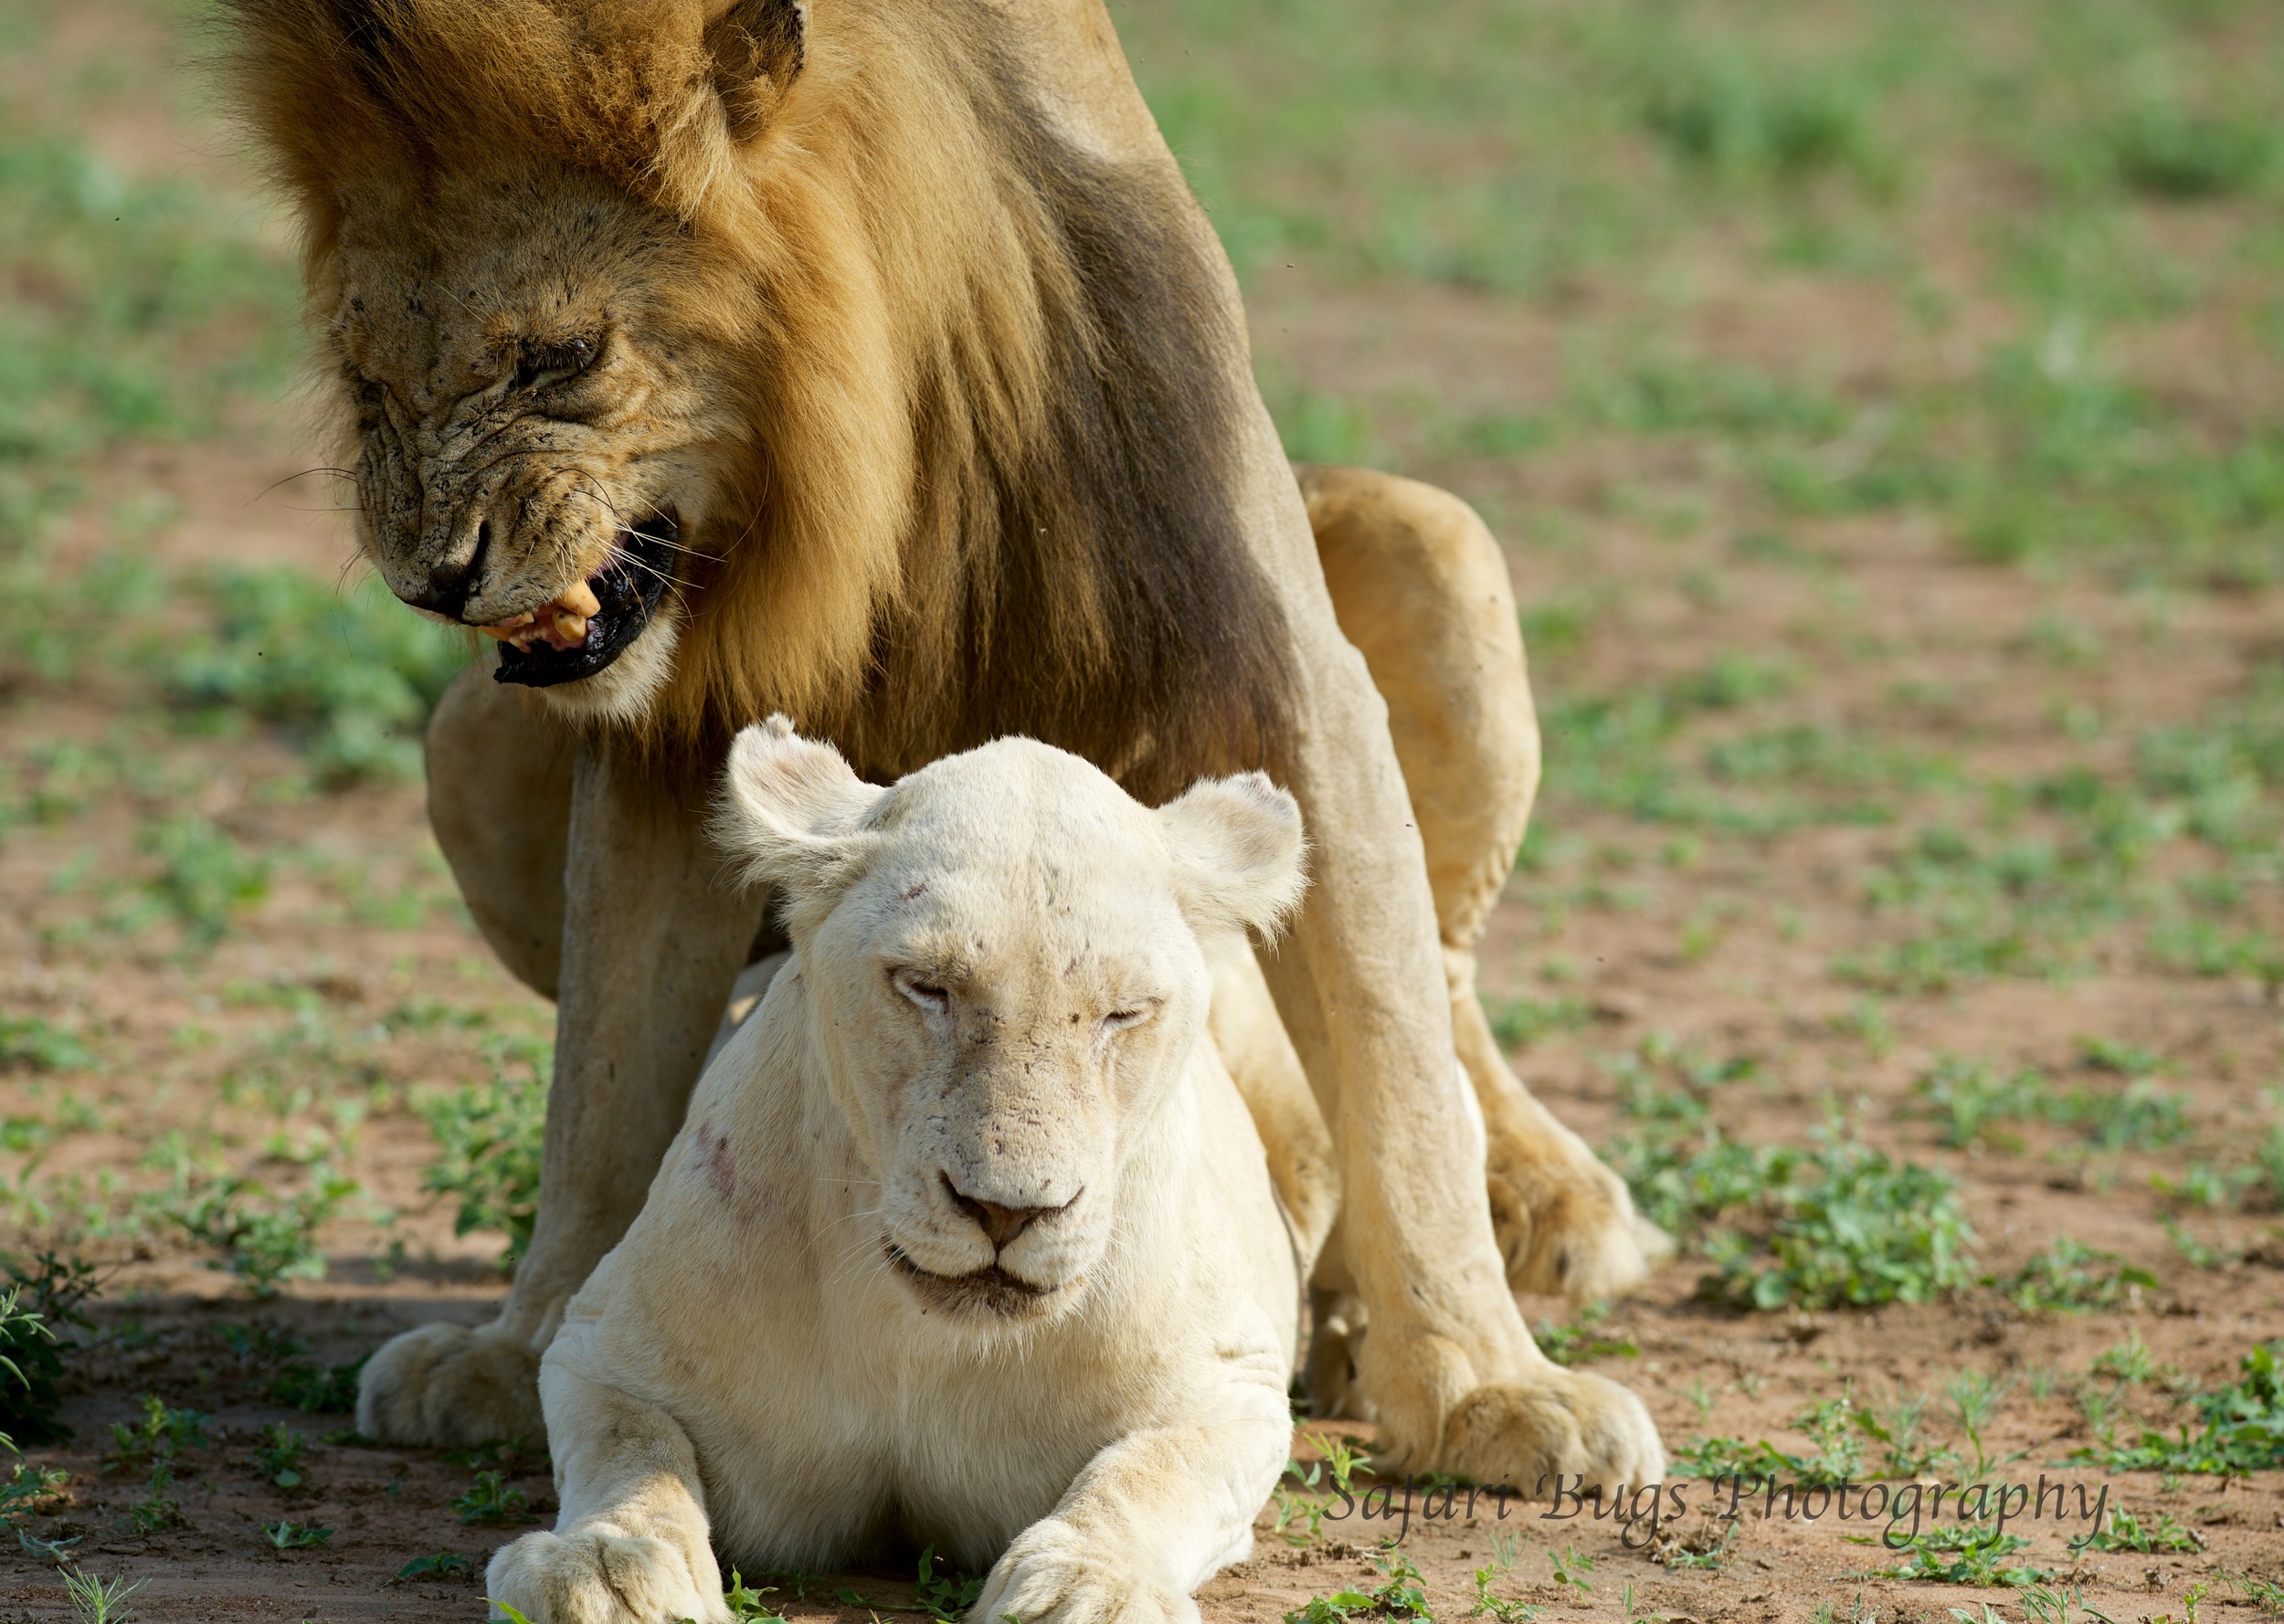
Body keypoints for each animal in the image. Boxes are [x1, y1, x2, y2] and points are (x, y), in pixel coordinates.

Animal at [222, 0, 1672, 1489]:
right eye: (365, 377)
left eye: (559, 357)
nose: (433, 577)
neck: (864, 469)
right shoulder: (675, 730)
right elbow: (607, 1079)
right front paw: (530, 1346)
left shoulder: (1278, 656)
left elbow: (1396, 1061)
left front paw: (1491, 1387)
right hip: (463, 742)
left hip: (1440, 542)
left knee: (1442, 982)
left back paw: (1525, 1213)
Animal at [491, 726, 1654, 1624]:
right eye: (924, 986)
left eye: (1122, 1012)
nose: (1006, 1210)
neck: (924, 1343)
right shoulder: (605, 1346)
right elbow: (634, 1453)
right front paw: (604, 1568)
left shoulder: (1226, 1389)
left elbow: (1141, 1473)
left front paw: (1088, 1586)